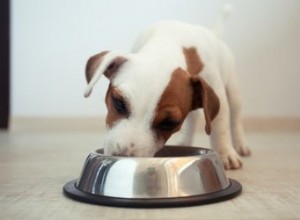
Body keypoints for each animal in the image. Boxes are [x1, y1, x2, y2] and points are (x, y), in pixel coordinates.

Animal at [83, 9, 250, 170]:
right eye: (118, 103)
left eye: (169, 123)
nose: (123, 157)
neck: (166, 44)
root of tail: (213, 33)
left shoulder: (217, 91)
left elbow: (219, 127)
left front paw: (225, 152)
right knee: (193, 117)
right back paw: (185, 141)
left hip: (233, 92)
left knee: (235, 119)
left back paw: (240, 144)